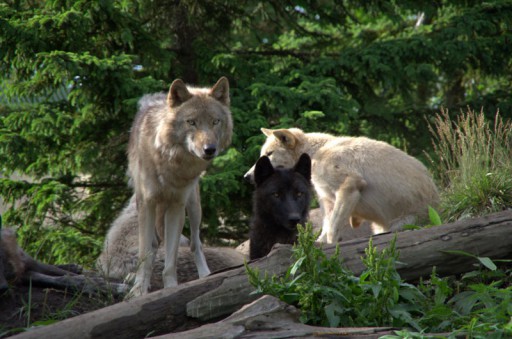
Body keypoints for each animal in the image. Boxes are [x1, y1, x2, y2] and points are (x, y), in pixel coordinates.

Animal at [128, 77, 232, 298]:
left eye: (215, 121)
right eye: (191, 122)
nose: (209, 149)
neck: (171, 161)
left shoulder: (176, 206)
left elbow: (171, 259)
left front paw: (171, 287)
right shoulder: (147, 204)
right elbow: (145, 254)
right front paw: (139, 290)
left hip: (193, 208)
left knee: (195, 243)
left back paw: (205, 274)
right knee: (153, 244)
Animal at [245, 128, 440, 244]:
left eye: (269, 154)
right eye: (263, 154)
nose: (246, 177)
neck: (317, 153)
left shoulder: (349, 187)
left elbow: (333, 228)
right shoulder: (327, 200)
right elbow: (326, 227)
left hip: (401, 224)